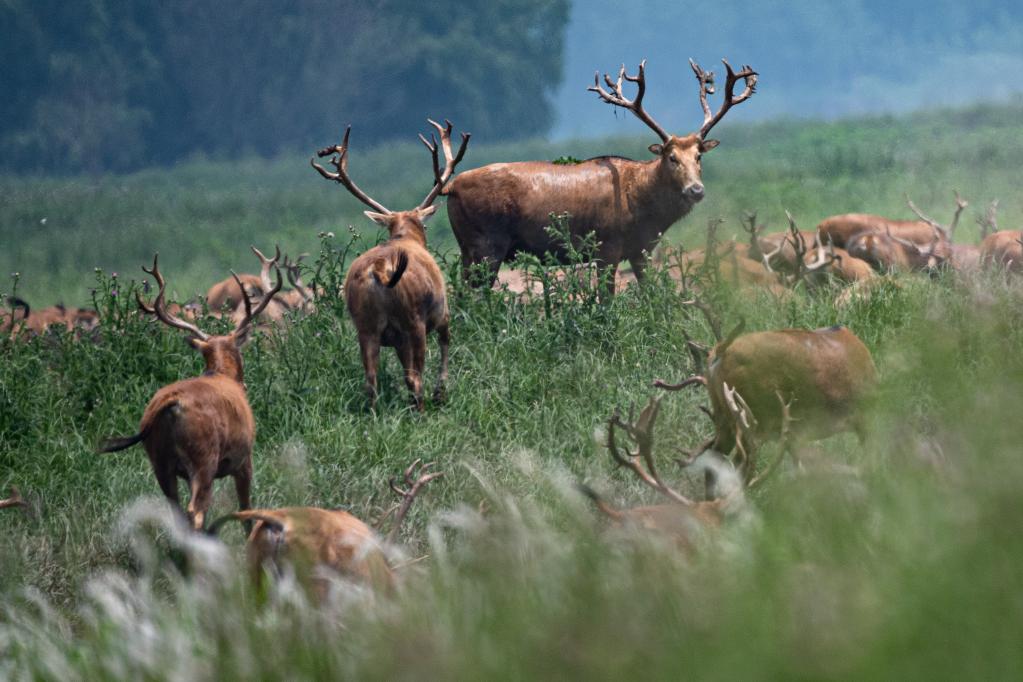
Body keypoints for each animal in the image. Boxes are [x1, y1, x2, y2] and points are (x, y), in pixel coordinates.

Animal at [96, 253, 284, 531]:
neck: (222, 374)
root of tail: (169, 404)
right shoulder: (244, 458)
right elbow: (246, 510)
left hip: (160, 461)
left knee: (177, 513)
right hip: (204, 456)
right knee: (195, 511)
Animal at [310, 117, 470, 411]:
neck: (405, 235)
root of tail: (379, 271)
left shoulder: (394, 339)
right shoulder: (442, 313)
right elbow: (445, 348)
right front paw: (441, 393)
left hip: (366, 325)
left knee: (371, 380)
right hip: (413, 320)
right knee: (414, 377)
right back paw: (422, 409)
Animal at [443, 58, 757, 290]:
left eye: (698, 156)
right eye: (671, 158)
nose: (696, 189)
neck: (643, 210)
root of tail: (450, 188)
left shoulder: (640, 250)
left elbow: (652, 295)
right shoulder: (605, 246)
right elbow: (605, 302)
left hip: (469, 249)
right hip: (486, 244)